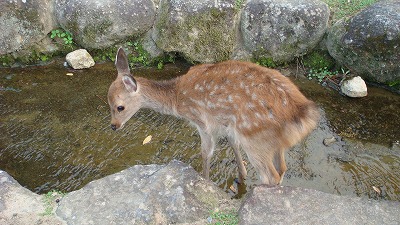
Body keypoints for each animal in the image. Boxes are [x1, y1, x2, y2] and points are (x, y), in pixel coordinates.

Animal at [108, 47, 320, 185]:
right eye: (108, 103)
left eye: (120, 107)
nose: (113, 126)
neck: (177, 99)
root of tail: (301, 111)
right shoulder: (227, 125)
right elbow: (233, 144)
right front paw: (241, 175)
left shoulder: (204, 122)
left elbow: (206, 153)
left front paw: (205, 181)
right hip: (274, 142)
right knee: (282, 168)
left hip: (255, 138)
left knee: (271, 176)